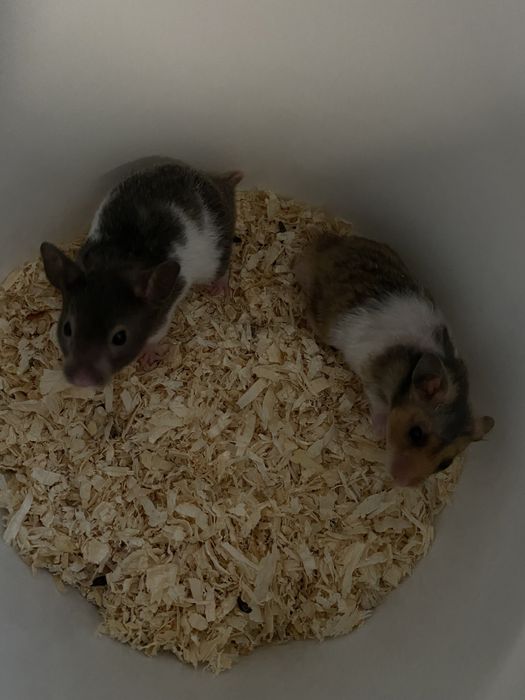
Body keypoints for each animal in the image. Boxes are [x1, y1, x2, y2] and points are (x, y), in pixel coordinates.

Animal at [40, 158, 243, 388]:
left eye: (120, 338)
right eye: (67, 329)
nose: (81, 381)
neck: (114, 264)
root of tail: (220, 183)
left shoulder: (164, 312)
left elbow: (155, 337)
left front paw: (147, 358)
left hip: (215, 255)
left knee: (223, 269)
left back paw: (219, 290)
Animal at [294, 230, 494, 487]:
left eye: (445, 464)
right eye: (416, 433)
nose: (400, 482)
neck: (410, 370)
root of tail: (331, 243)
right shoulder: (374, 382)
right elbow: (379, 407)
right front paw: (377, 432)